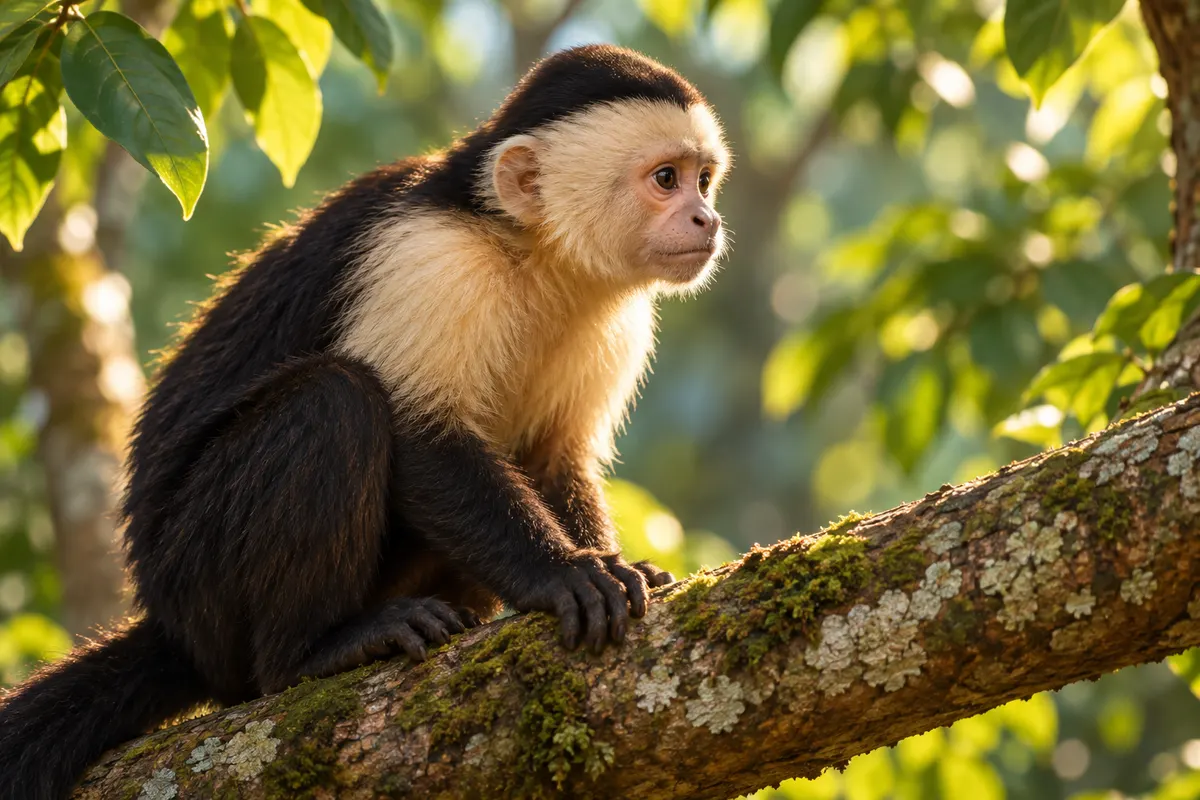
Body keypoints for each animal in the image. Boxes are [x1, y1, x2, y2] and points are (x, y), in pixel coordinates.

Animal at [0, 43, 729, 799]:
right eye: (666, 180)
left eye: (704, 181)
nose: (706, 219)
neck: (530, 250)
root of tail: (172, 620)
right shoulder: (429, 257)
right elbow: (419, 436)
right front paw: (561, 574)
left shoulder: (614, 319)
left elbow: (554, 459)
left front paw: (618, 565)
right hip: (196, 576)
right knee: (334, 403)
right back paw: (312, 652)